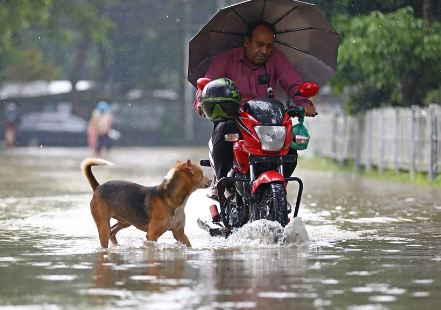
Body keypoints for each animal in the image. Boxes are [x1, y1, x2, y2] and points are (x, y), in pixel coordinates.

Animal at [81, 159, 211, 248]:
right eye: (201, 173)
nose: (210, 180)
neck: (168, 198)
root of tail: (98, 187)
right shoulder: (152, 236)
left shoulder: (179, 233)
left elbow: (189, 245)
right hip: (103, 225)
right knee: (107, 235)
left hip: (125, 221)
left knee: (112, 232)